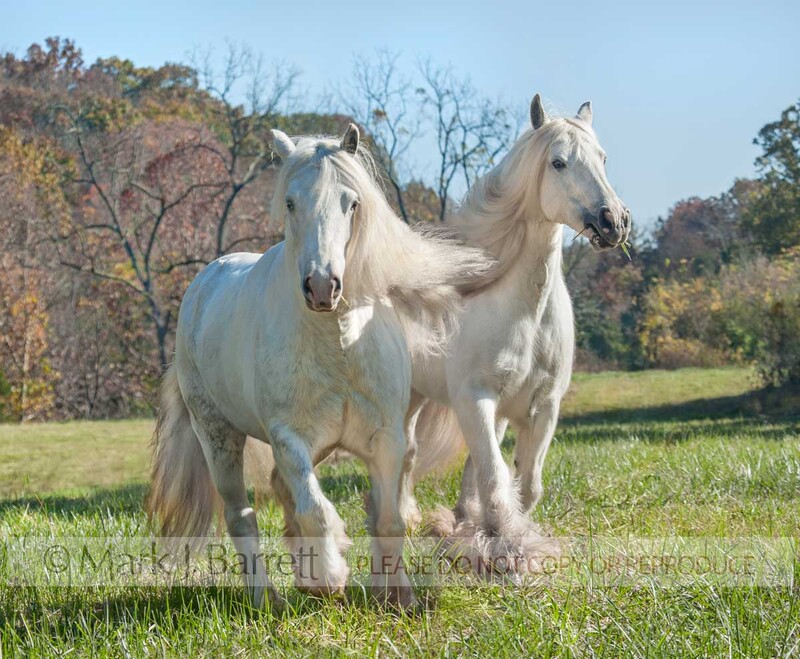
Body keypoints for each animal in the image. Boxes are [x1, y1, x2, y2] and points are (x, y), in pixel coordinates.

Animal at [146, 124, 493, 610]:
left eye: (352, 202)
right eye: (291, 202)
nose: (322, 286)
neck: (339, 343)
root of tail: (204, 282)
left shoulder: (387, 438)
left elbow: (388, 519)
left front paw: (396, 596)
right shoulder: (289, 438)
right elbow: (317, 512)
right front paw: (330, 577)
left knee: (281, 492)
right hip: (218, 437)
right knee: (242, 515)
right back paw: (267, 598)